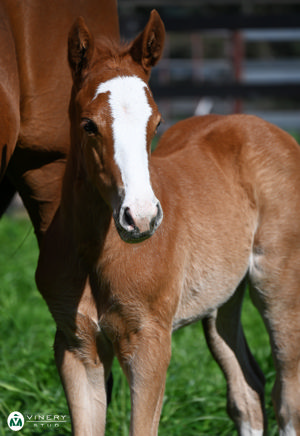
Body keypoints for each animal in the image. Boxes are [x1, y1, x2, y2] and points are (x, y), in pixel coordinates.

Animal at [36, 10, 300, 436]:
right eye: (88, 124)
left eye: (156, 123)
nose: (141, 218)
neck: (96, 250)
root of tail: (264, 126)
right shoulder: (76, 348)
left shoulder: (149, 342)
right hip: (221, 299)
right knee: (247, 392)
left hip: (278, 284)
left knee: (287, 396)